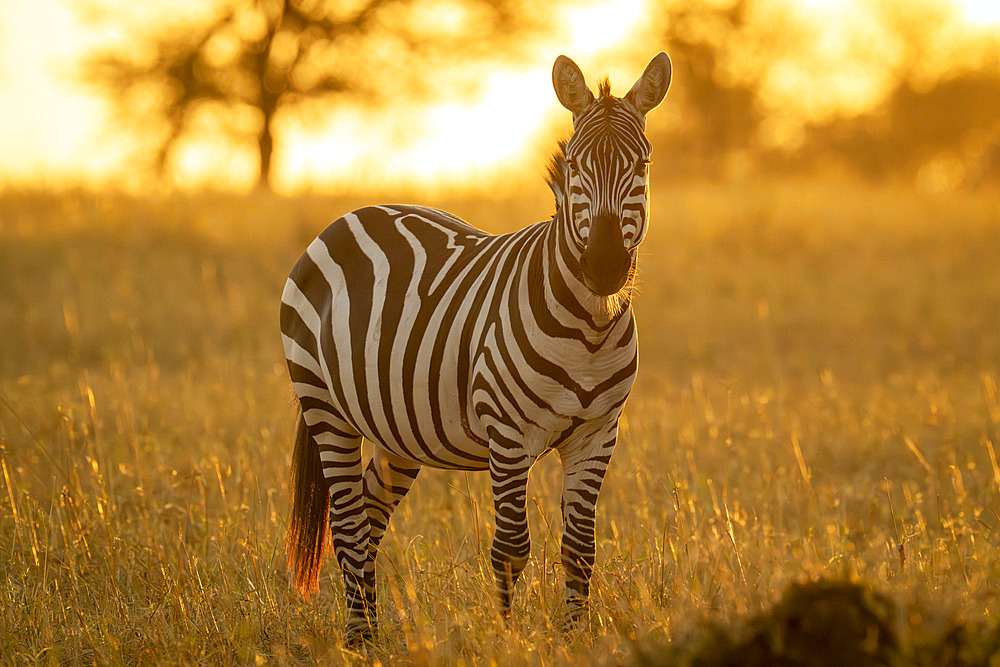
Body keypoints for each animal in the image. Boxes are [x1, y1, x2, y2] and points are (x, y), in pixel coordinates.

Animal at [282, 52, 672, 640]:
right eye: (575, 165)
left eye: (642, 165)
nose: (604, 266)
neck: (589, 328)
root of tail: (352, 214)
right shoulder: (507, 436)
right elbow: (510, 549)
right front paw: (509, 640)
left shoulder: (598, 434)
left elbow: (580, 550)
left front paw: (575, 638)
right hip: (325, 407)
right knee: (348, 524)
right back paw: (359, 640)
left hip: (398, 429)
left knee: (368, 518)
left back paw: (368, 630)